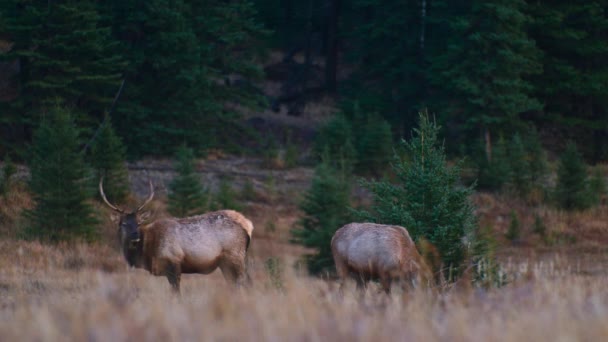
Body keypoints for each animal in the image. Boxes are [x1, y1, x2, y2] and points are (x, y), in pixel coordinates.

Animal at [101, 178, 253, 292]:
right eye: (123, 223)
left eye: (138, 223)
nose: (135, 236)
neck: (148, 252)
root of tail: (248, 224)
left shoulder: (174, 262)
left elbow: (176, 294)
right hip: (226, 263)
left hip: (235, 256)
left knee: (245, 283)